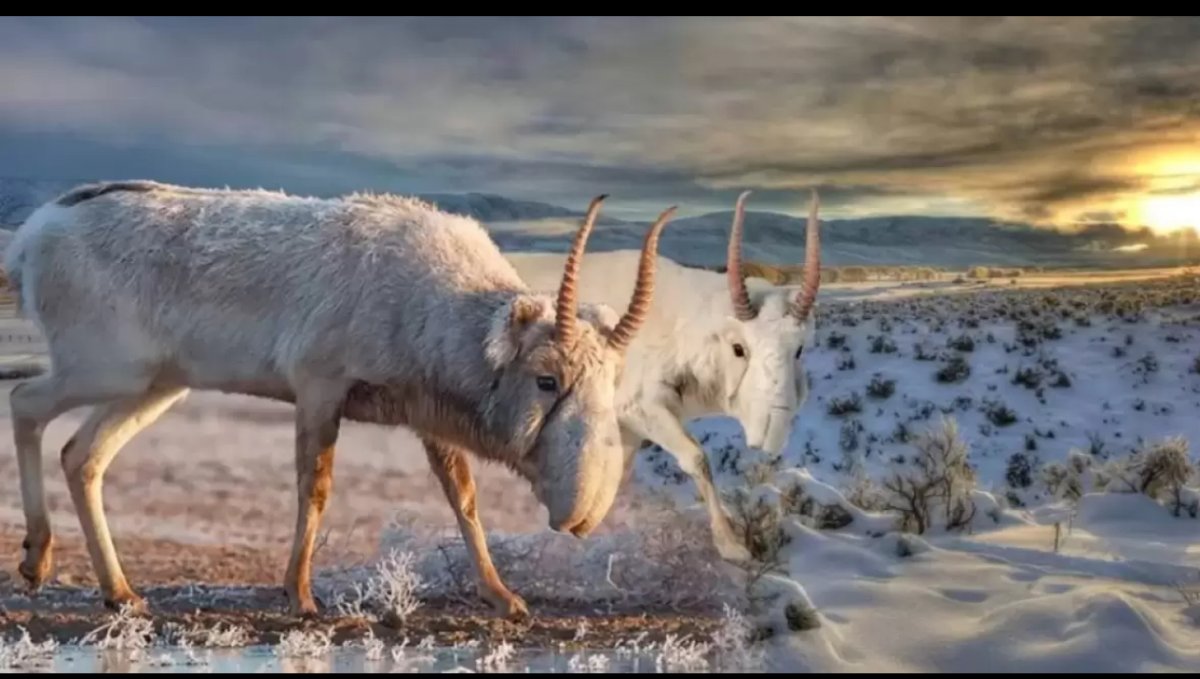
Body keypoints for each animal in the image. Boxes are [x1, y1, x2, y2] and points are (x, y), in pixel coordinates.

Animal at [4, 181, 676, 623]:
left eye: (611, 381)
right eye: (546, 379)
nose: (580, 515)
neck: (433, 301)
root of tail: (35, 234)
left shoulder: (425, 418)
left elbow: (463, 498)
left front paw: (503, 596)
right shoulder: (319, 389)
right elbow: (317, 486)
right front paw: (301, 597)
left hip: (154, 386)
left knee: (82, 456)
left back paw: (119, 592)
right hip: (107, 370)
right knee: (26, 401)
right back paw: (37, 561)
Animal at [501, 189, 820, 561]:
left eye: (799, 348)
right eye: (738, 347)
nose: (774, 429)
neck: (684, 323)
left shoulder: (625, 430)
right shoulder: (639, 407)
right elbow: (696, 458)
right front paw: (731, 545)